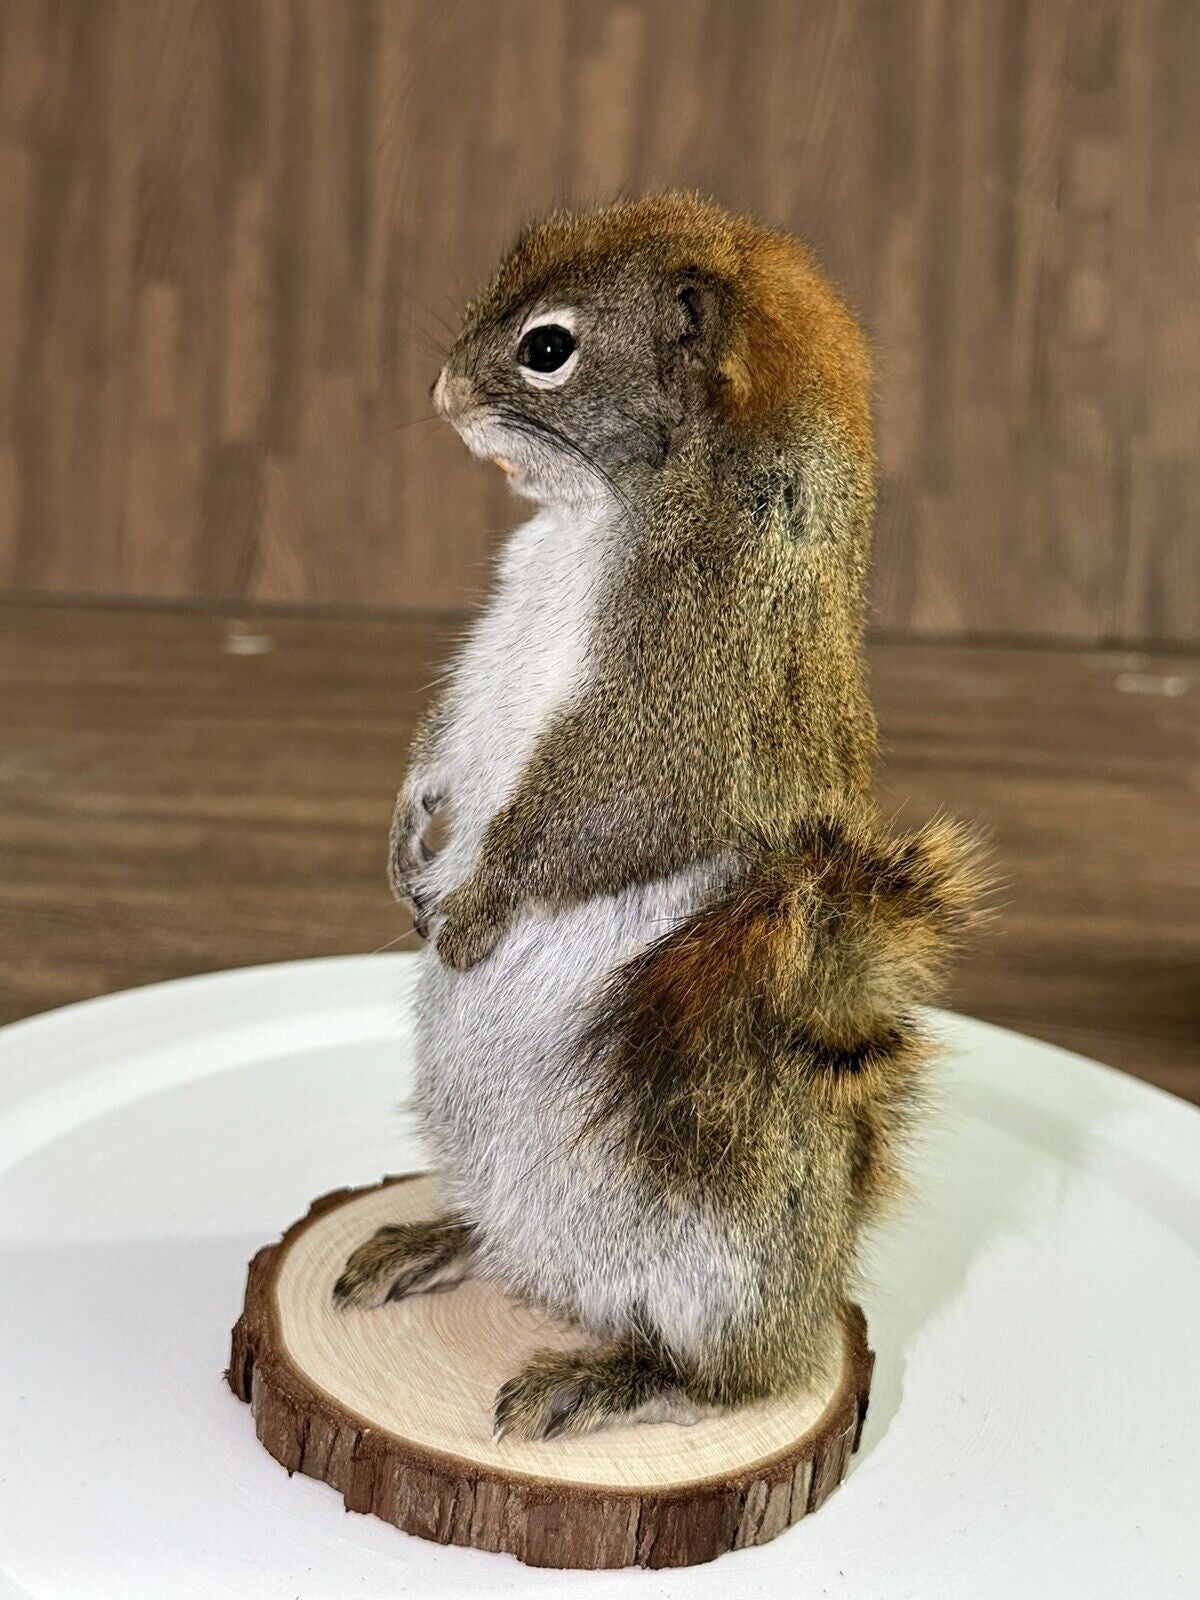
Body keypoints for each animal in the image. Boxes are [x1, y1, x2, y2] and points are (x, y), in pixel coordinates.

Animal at [333, 193, 985, 1442]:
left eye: (548, 347)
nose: (438, 394)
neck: (606, 511)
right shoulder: (494, 649)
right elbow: (441, 744)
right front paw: (404, 844)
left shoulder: (686, 699)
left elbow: (592, 817)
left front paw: (474, 906)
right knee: (509, 1245)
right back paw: (435, 1237)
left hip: (725, 1243)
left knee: (738, 1374)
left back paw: (609, 1374)